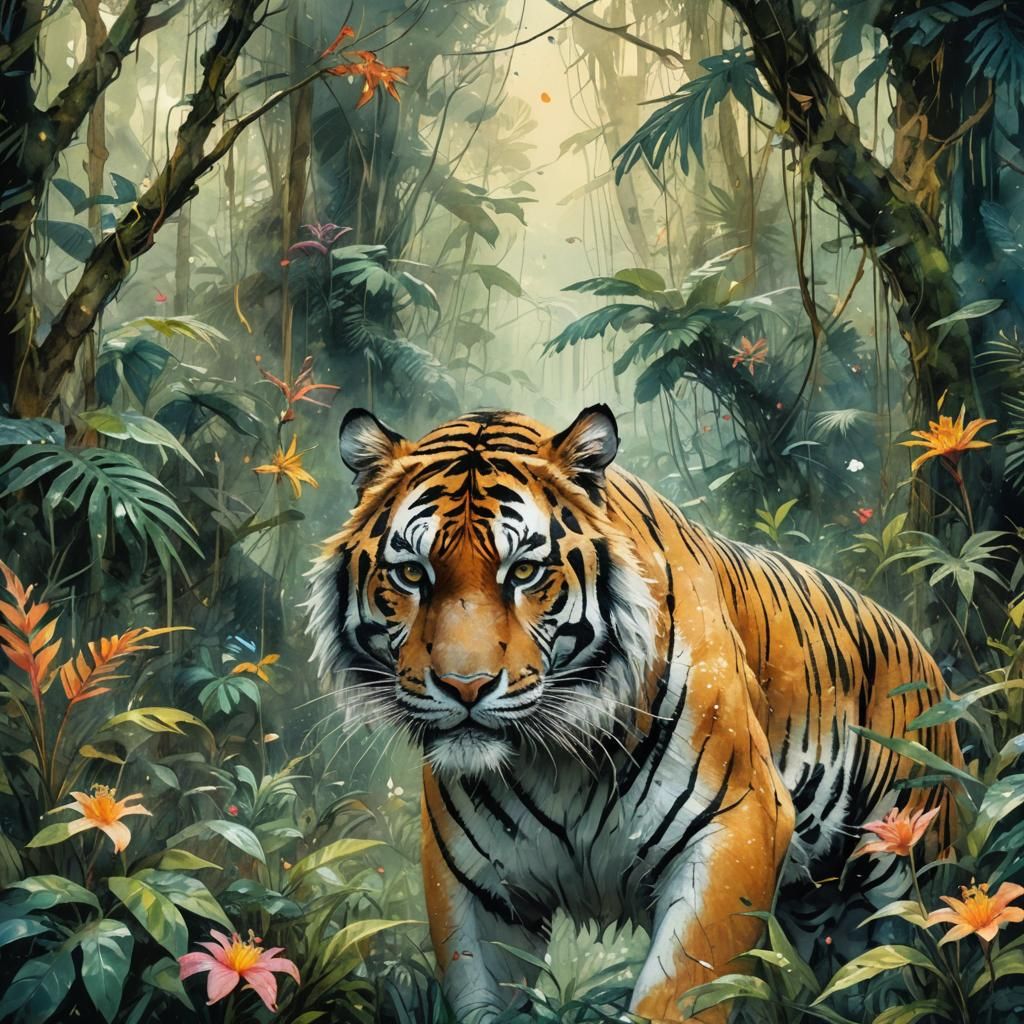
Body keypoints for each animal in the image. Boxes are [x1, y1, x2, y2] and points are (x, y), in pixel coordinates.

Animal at [305, 404, 960, 1023]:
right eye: (412, 573)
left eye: (524, 572)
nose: (465, 686)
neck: (556, 757)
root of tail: (920, 647)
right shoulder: (474, 885)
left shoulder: (738, 826)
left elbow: (679, 995)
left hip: (911, 877)